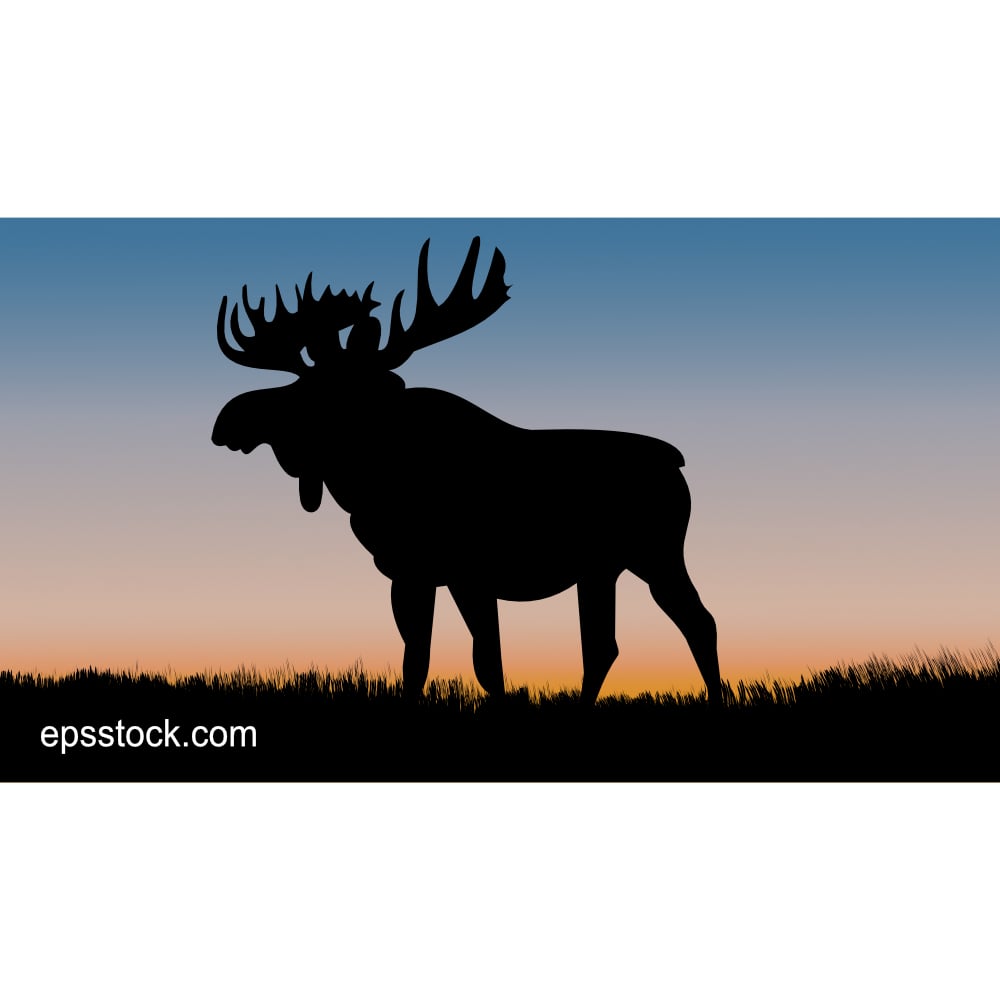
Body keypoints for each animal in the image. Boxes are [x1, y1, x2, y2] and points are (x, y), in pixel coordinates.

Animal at [212, 238, 721, 705]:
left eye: (313, 391)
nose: (228, 419)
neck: (373, 476)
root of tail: (675, 461)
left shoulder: (469, 572)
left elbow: (487, 663)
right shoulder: (408, 573)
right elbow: (415, 661)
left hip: (656, 554)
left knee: (699, 622)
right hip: (602, 568)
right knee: (604, 646)